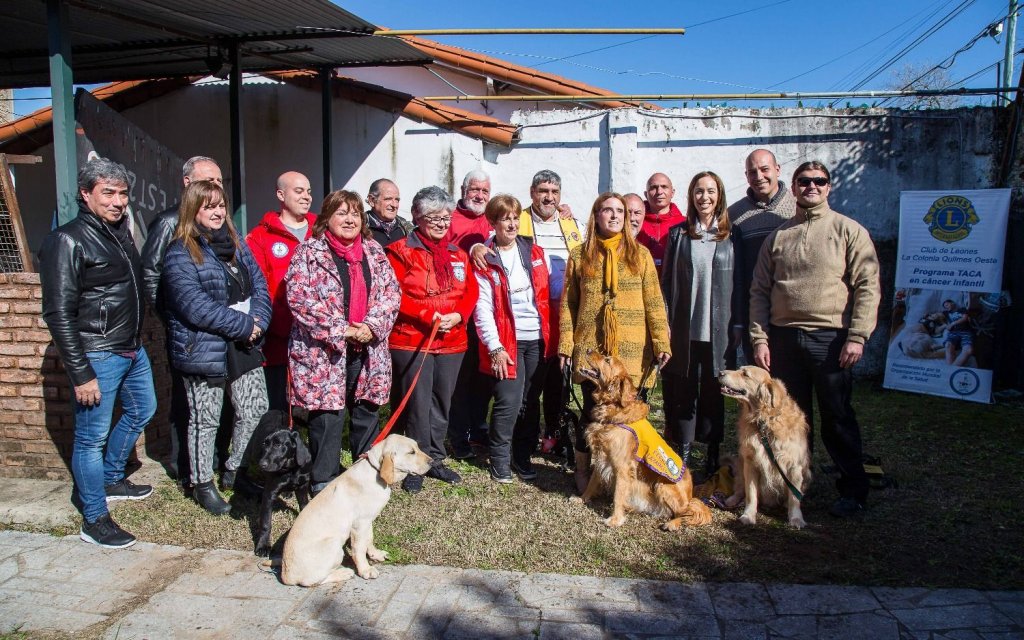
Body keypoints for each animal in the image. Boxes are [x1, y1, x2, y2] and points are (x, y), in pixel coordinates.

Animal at [248, 409, 309, 552]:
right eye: (265, 444)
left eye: (278, 444)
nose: (262, 464)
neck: (290, 470)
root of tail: (276, 410)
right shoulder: (269, 494)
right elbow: (266, 523)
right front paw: (263, 546)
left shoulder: (302, 486)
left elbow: (304, 505)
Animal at [280, 432, 432, 585]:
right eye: (411, 452)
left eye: (417, 447)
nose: (432, 462)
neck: (375, 470)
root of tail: (286, 576)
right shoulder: (359, 524)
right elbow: (359, 549)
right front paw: (365, 570)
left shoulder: (368, 519)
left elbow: (369, 539)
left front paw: (375, 554)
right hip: (334, 545)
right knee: (313, 581)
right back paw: (344, 572)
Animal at [573, 350, 708, 528]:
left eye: (607, 360)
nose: (588, 350)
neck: (613, 407)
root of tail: (691, 495)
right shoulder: (603, 456)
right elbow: (592, 482)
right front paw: (582, 499)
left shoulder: (622, 466)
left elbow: (618, 495)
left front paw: (615, 519)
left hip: (663, 485)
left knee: (688, 512)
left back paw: (672, 524)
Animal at [716, 366, 811, 528]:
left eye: (745, 374)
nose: (720, 373)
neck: (764, 421)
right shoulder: (750, 462)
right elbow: (751, 494)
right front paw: (748, 515)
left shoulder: (794, 466)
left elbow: (794, 497)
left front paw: (796, 518)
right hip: (740, 464)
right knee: (740, 488)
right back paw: (732, 499)